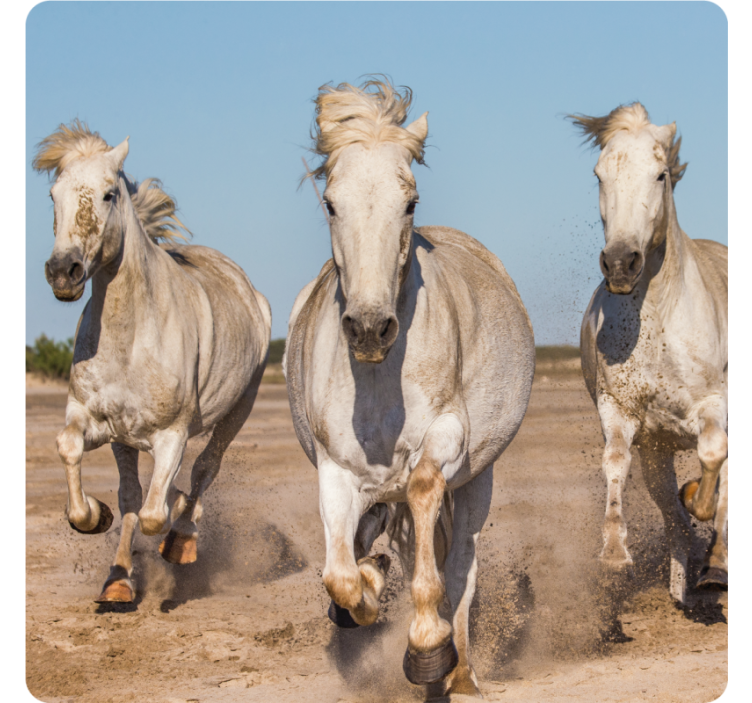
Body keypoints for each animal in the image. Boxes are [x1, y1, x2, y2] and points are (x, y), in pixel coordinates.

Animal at [33, 121, 271, 603]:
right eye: (53, 194)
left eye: (109, 194)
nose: (63, 271)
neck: (130, 339)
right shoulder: (98, 423)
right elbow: (79, 459)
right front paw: (97, 523)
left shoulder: (171, 435)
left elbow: (154, 513)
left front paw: (173, 523)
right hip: (126, 441)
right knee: (136, 493)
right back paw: (119, 578)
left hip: (239, 409)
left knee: (203, 470)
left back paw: (181, 539)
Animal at [284, 80, 535, 697]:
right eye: (331, 203)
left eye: (410, 202)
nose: (371, 327)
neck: (378, 382)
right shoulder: (336, 470)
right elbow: (340, 577)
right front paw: (367, 589)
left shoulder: (444, 442)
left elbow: (427, 516)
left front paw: (427, 647)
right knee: (367, 539)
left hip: (477, 482)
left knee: (461, 565)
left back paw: (460, 672)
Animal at [569, 103, 728, 604]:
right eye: (599, 175)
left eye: (661, 174)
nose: (621, 263)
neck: (657, 319)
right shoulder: (621, 410)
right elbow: (615, 462)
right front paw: (614, 553)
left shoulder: (714, 405)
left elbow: (713, 457)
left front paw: (698, 499)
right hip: (659, 454)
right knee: (674, 523)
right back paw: (682, 590)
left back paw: (716, 567)